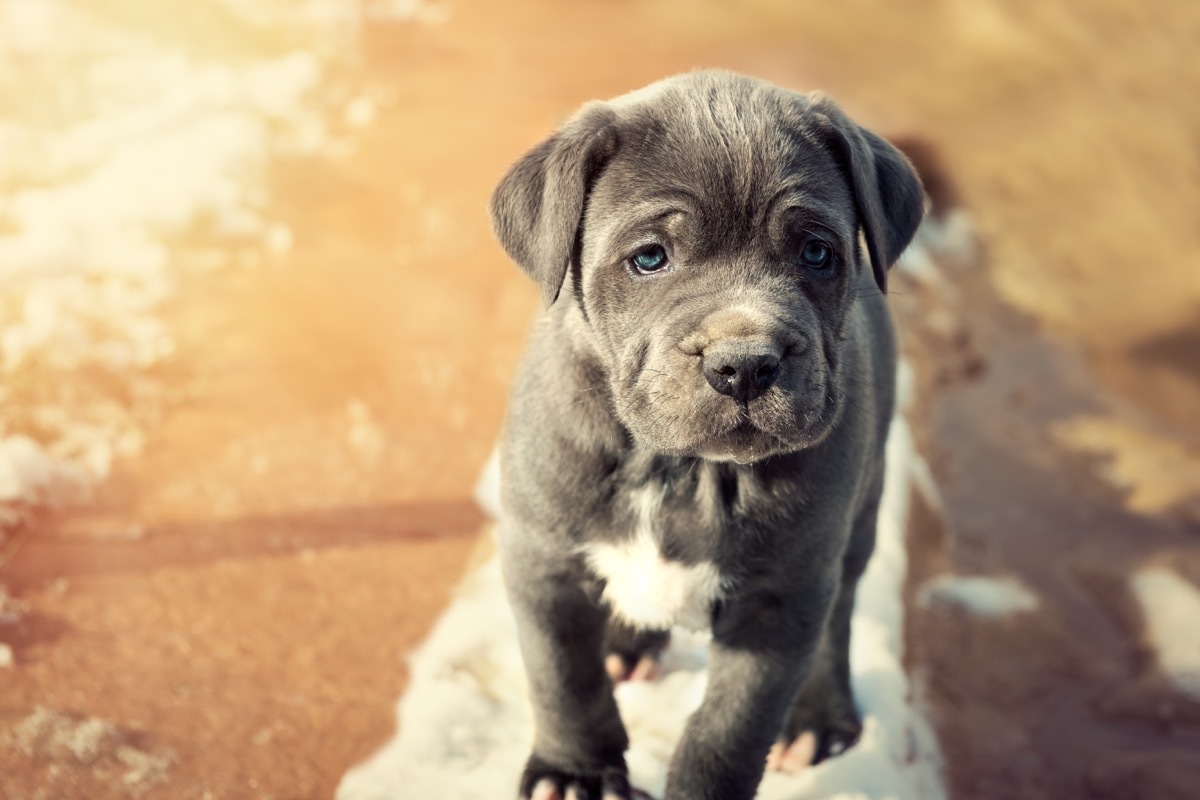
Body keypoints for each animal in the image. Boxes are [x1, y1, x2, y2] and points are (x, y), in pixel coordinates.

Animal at [492, 70, 921, 800]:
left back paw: (820, 717)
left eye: (816, 253)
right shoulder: (541, 561)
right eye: (650, 259)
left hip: (860, 513)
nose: (744, 363)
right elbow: (564, 680)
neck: (677, 466)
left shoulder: (779, 600)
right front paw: (575, 772)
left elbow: (728, 731)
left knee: (839, 615)